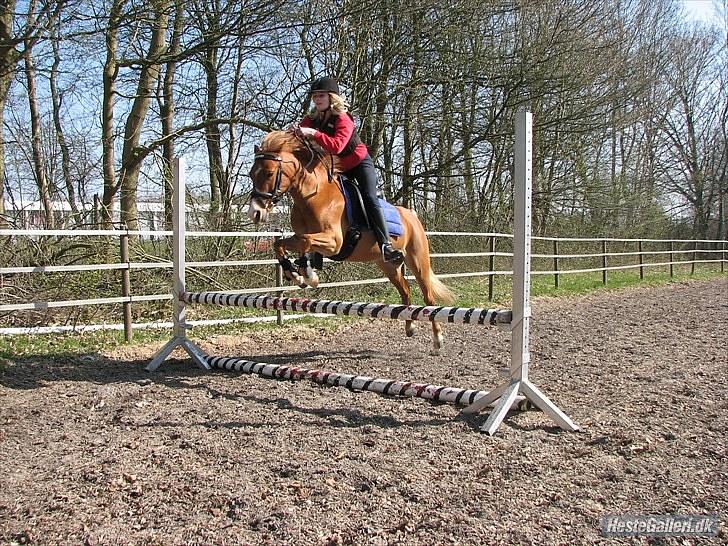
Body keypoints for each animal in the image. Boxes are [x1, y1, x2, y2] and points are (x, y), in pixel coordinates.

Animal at [250, 130, 456, 354]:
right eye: (252, 174)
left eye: (269, 173)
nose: (255, 212)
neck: (312, 195)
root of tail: (411, 215)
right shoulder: (302, 237)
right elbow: (281, 245)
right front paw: (297, 274)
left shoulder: (334, 242)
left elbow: (305, 242)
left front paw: (308, 275)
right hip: (388, 266)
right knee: (406, 292)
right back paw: (409, 327)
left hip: (418, 261)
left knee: (429, 298)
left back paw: (437, 340)